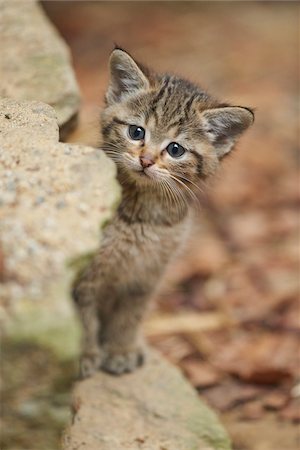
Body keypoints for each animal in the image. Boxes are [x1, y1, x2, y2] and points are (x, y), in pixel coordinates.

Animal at [72, 47, 253, 376]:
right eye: (136, 132)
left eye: (175, 149)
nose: (146, 160)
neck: (145, 216)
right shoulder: (86, 274)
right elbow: (83, 317)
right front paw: (83, 355)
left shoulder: (146, 277)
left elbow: (129, 316)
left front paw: (122, 349)